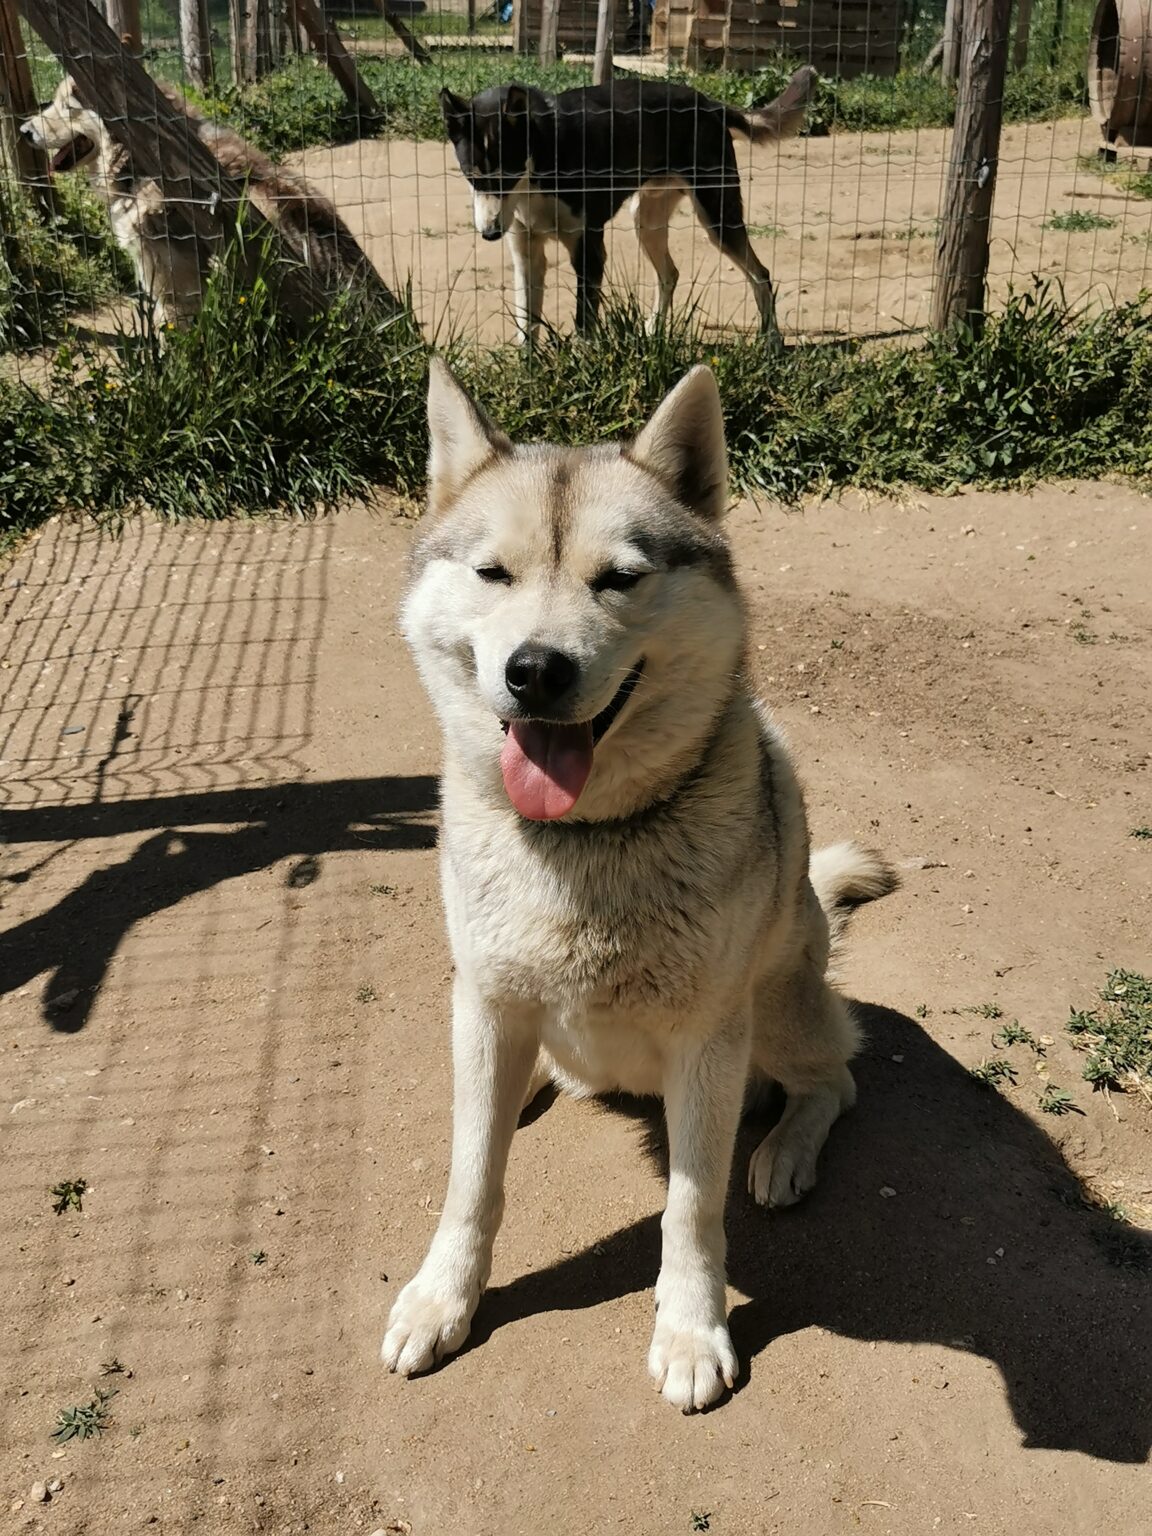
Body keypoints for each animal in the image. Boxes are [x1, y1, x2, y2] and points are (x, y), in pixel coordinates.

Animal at [383, 358, 899, 1411]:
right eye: (492, 574)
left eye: (620, 577)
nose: (535, 671)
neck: (588, 841)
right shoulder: (485, 1001)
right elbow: (469, 1180)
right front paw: (441, 1298)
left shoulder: (709, 1039)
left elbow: (691, 1211)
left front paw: (692, 1330)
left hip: (774, 1007)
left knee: (837, 1076)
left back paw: (785, 1149)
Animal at [440, 66, 816, 344]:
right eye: (471, 176)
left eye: (510, 174)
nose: (489, 233)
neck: (544, 159)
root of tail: (709, 104)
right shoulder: (526, 254)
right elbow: (526, 329)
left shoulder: (588, 251)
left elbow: (584, 326)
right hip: (646, 221)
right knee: (670, 274)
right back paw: (654, 330)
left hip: (718, 218)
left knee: (760, 274)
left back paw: (772, 341)